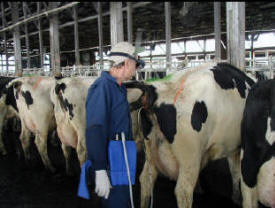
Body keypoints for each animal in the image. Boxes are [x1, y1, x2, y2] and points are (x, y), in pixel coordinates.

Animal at [127, 62, 256, 208]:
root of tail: (157, 91)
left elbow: (234, 170)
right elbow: (237, 172)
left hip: (150, 152)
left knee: (146, 179)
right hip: (189, 156)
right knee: (183, 190)